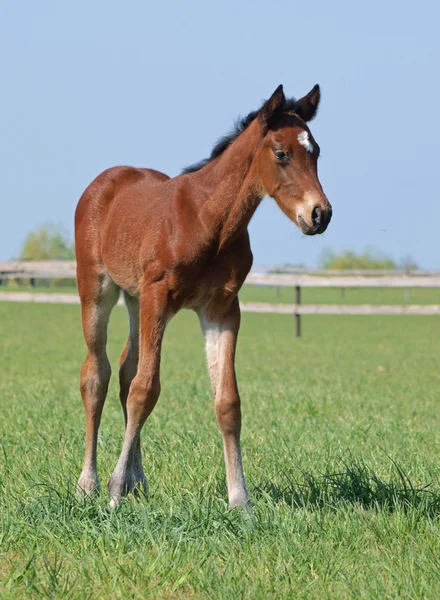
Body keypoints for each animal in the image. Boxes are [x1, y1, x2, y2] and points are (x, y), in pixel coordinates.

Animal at [75, 83, 330, 506]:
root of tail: (106, 180)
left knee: (126, 373)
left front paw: (240, 500)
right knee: (98, 375)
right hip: (98, 290)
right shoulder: (159, 297)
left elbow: (227, 402)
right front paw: (114, 491)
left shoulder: (221, 309)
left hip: (135, 299)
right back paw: (89, 483)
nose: (320, 214)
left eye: (317, 152)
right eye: (281, 153)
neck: (209, 220)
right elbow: (146, 389)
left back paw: (137, 481)